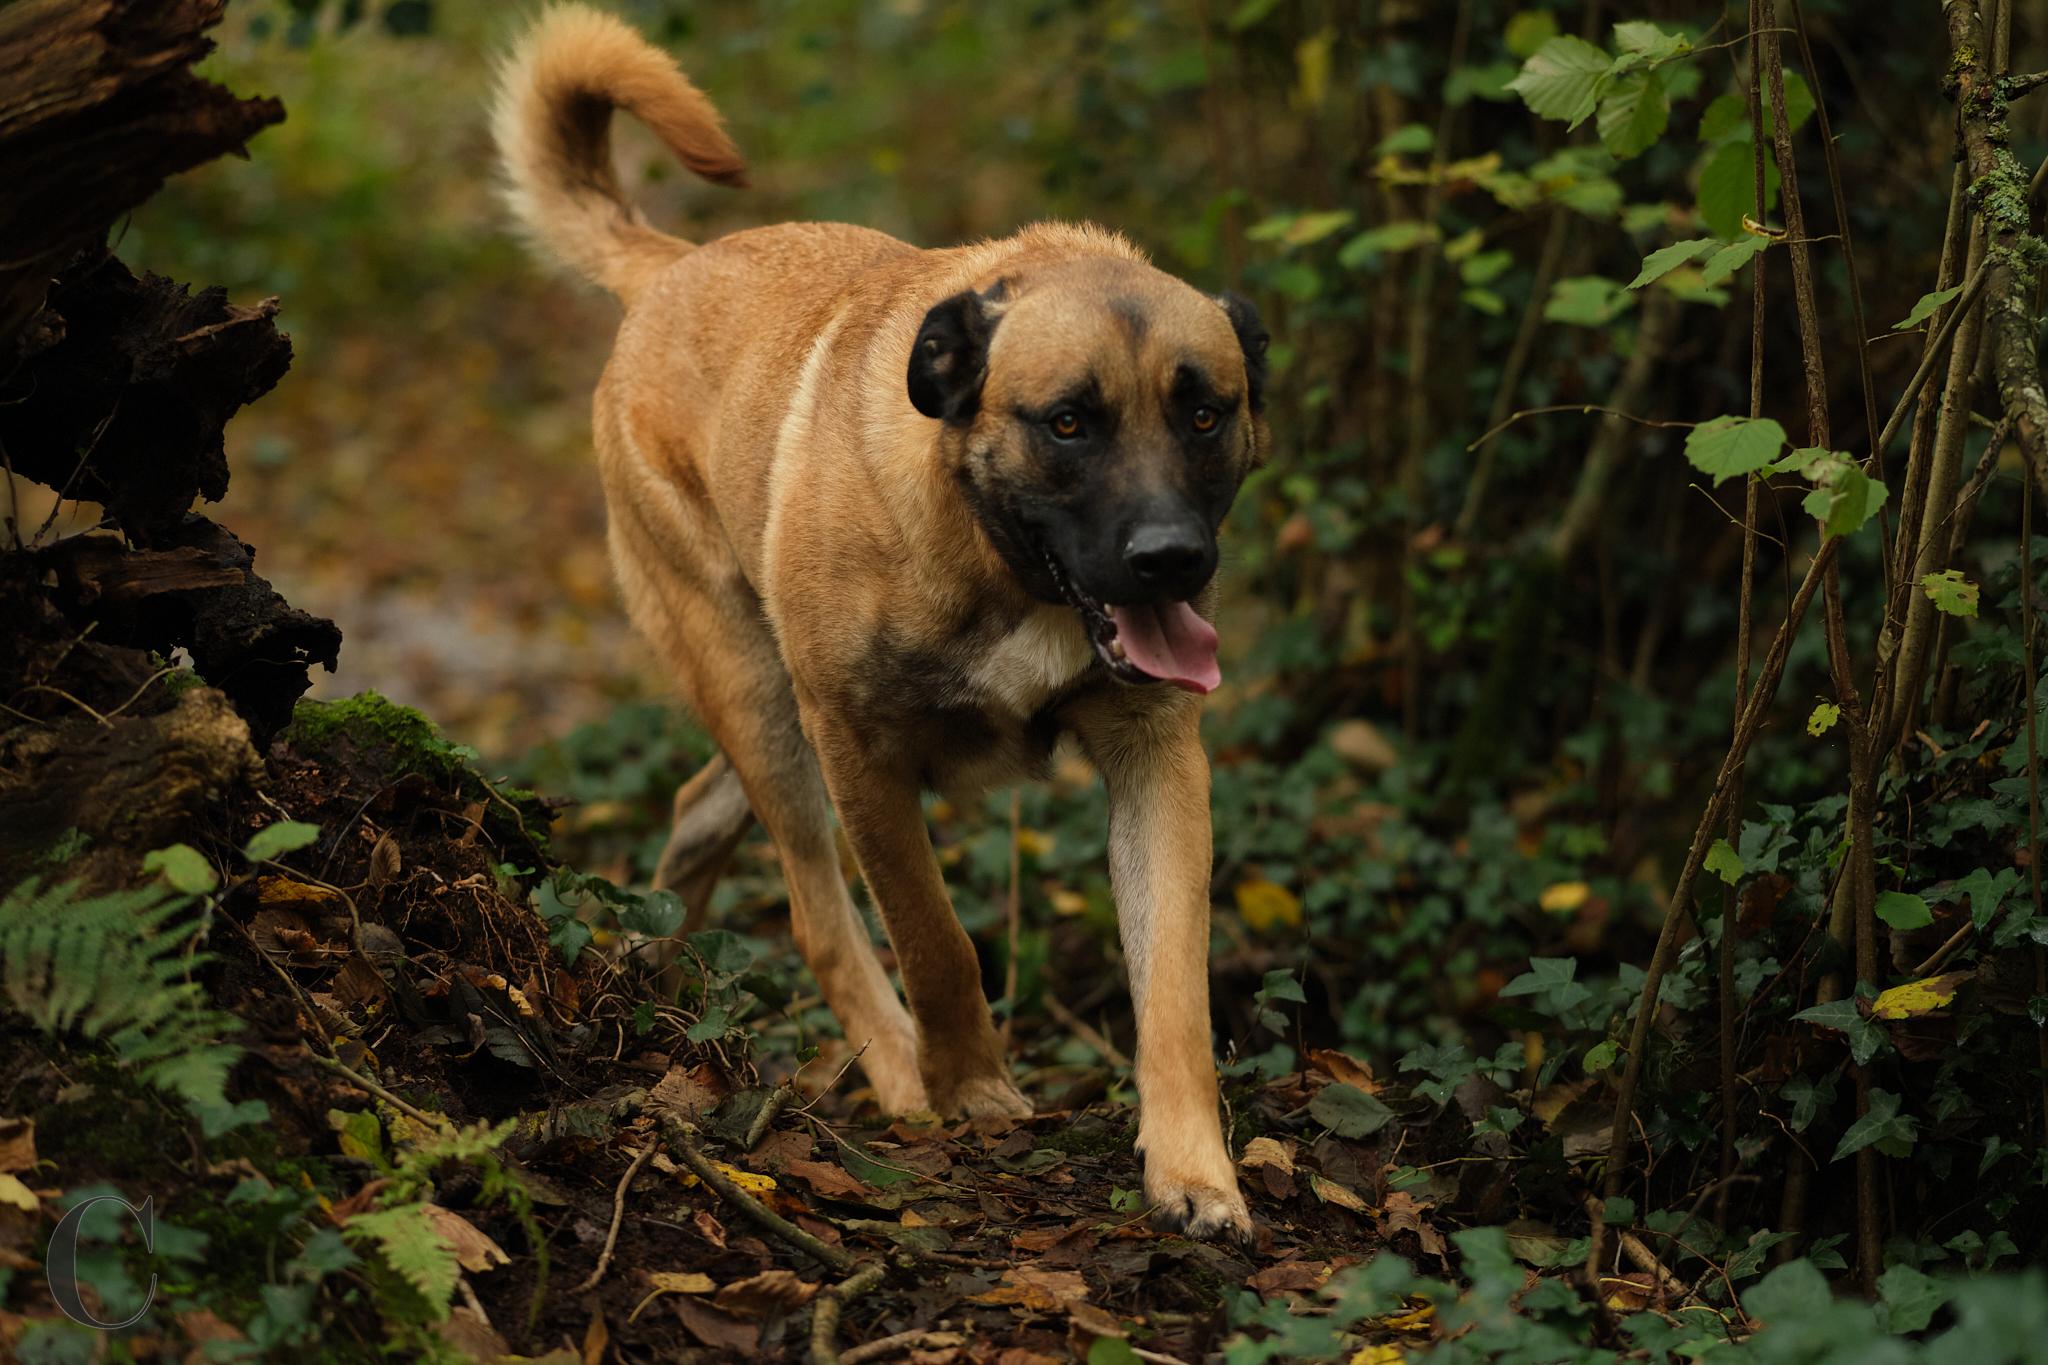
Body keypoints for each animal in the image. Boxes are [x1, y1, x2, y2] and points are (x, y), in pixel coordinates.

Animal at [493, 2, 1261, 1236]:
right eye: (1067, 423)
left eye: (1204, 413)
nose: (1170, 561)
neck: (994, 558)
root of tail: (668, 269)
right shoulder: (859, 748)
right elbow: (933, 938)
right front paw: (967, 1086)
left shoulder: (1157, 758)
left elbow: (1174, 987)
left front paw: (1193, 1171)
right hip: (764, 697)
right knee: (815, 906)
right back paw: (893, 1067)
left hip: (764, 716)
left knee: (699, 808)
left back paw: (645, 956)